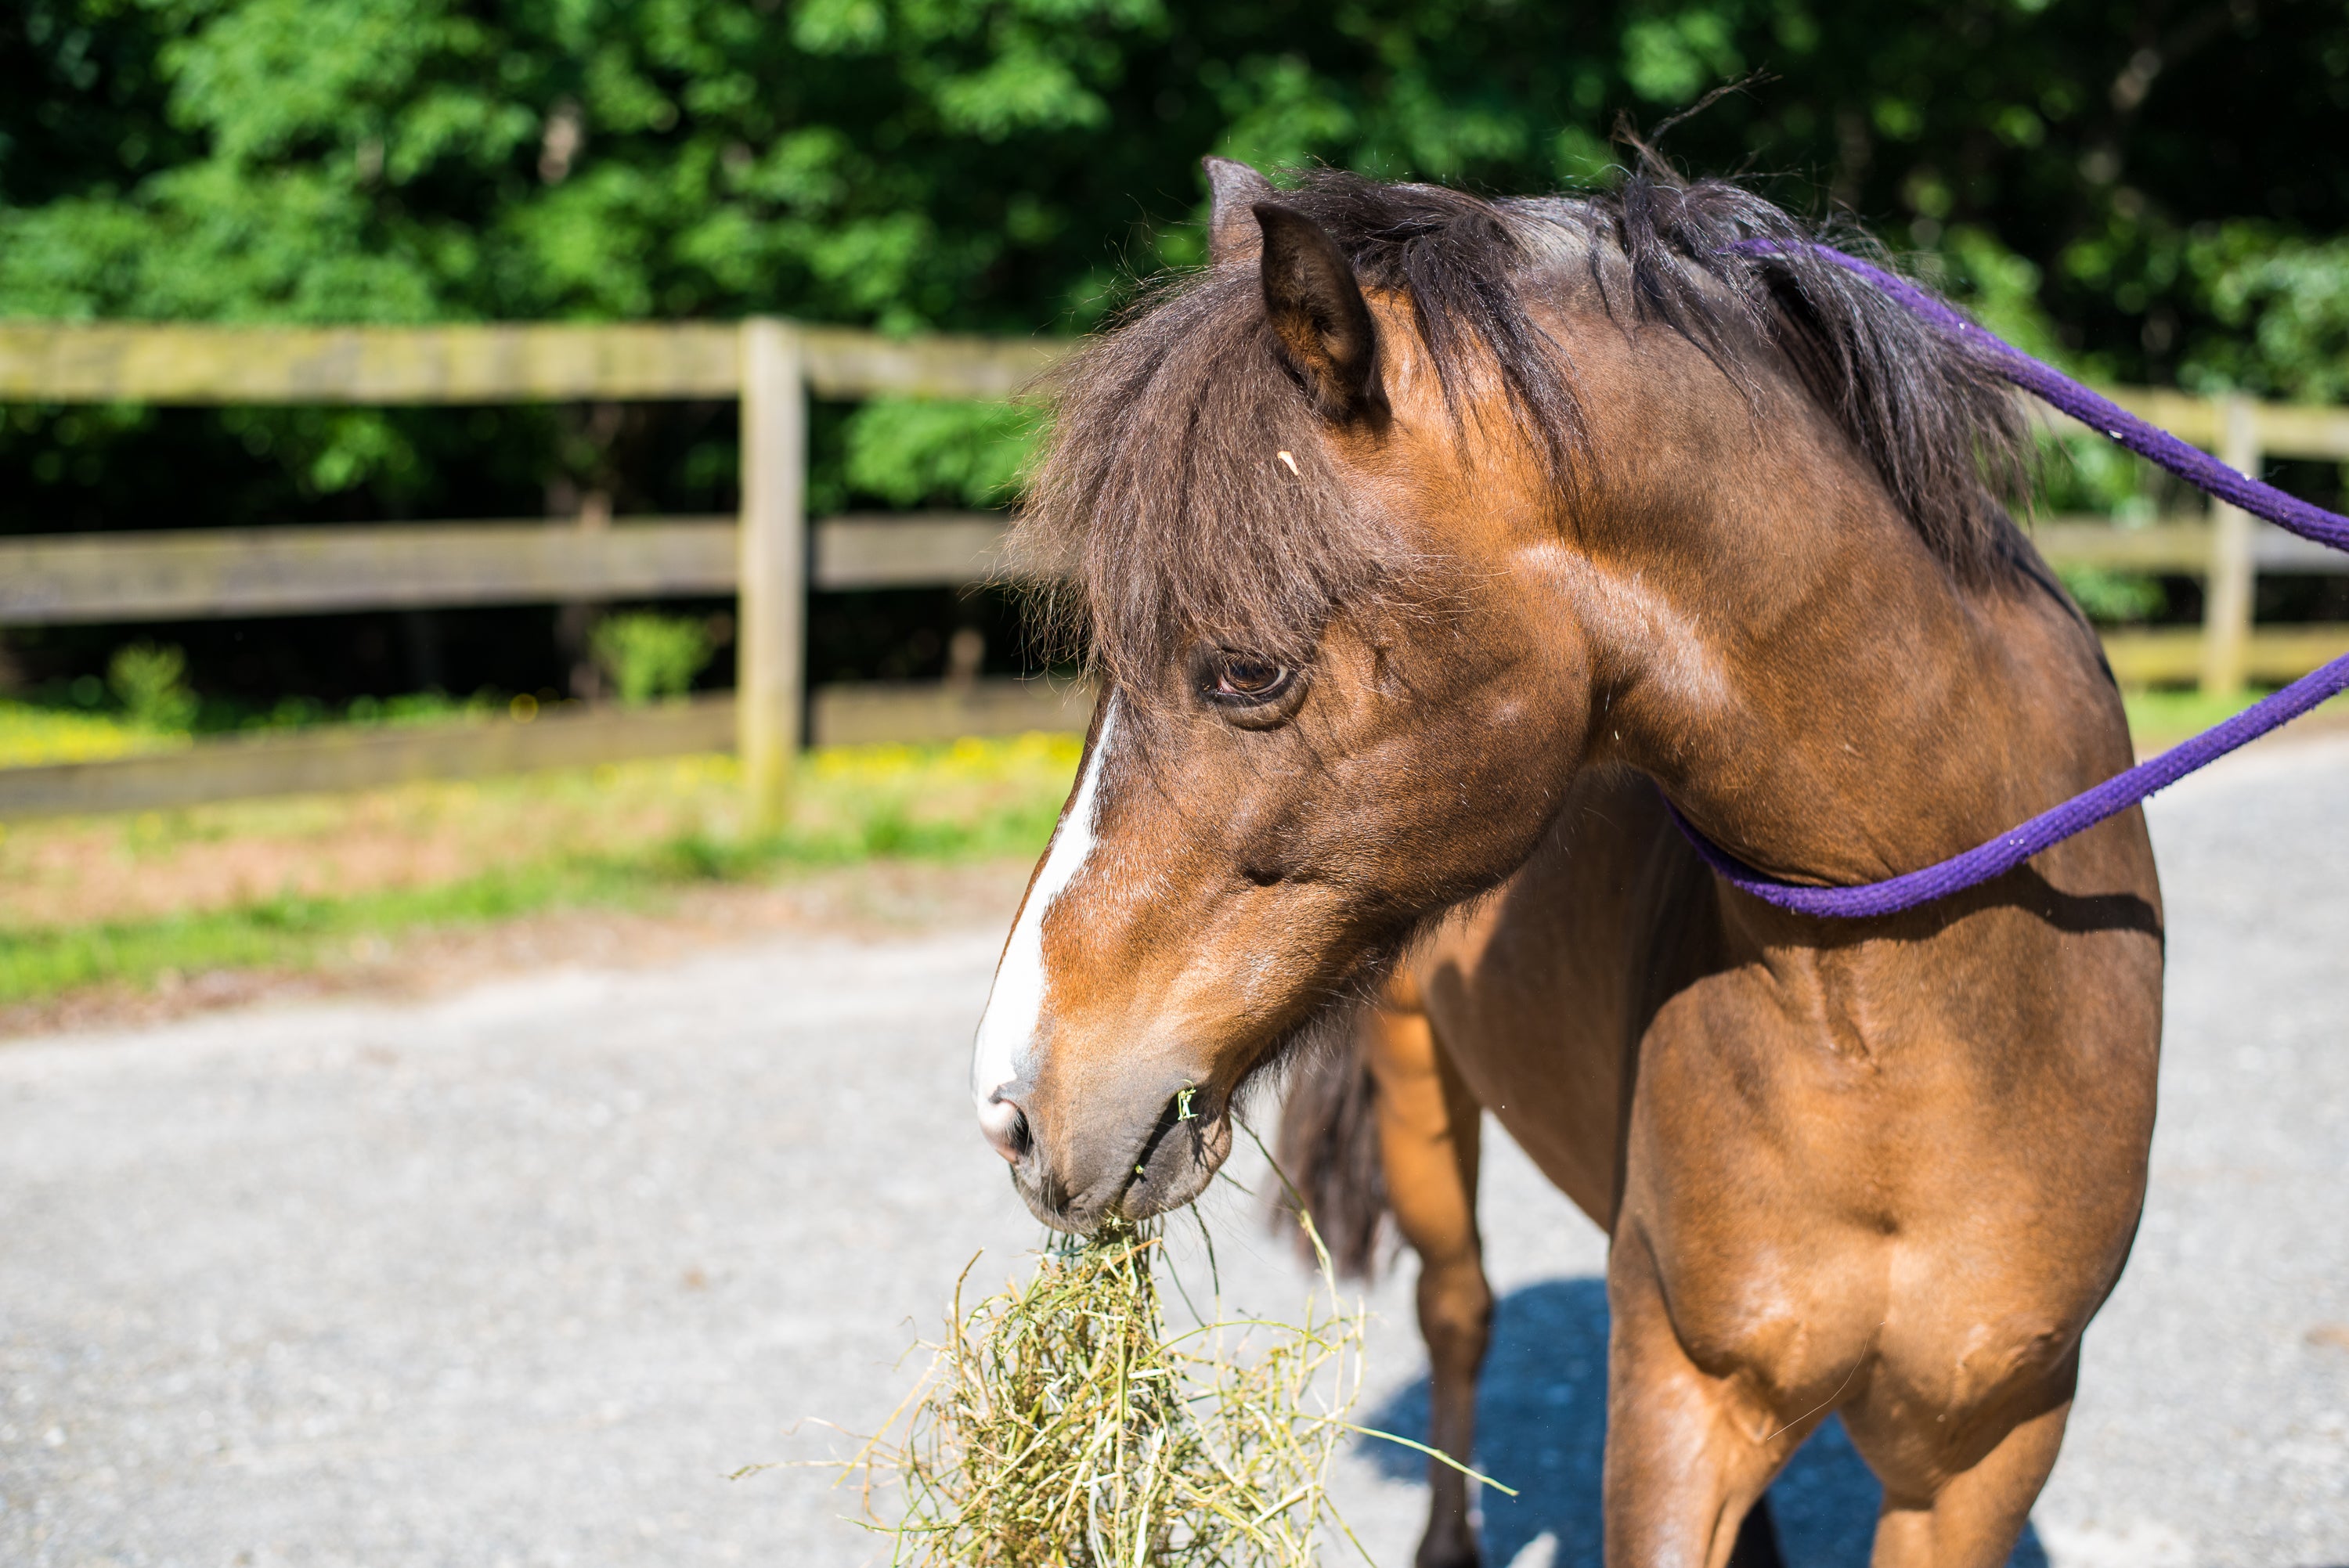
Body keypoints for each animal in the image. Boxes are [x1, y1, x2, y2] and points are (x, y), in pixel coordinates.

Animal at [968, 154, 2163, 1568]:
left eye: (1246, 670)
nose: (1012, 1103)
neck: (1931, 1010)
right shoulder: (1680, 1406)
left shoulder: (1985, 1449)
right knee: (1461, 1306)